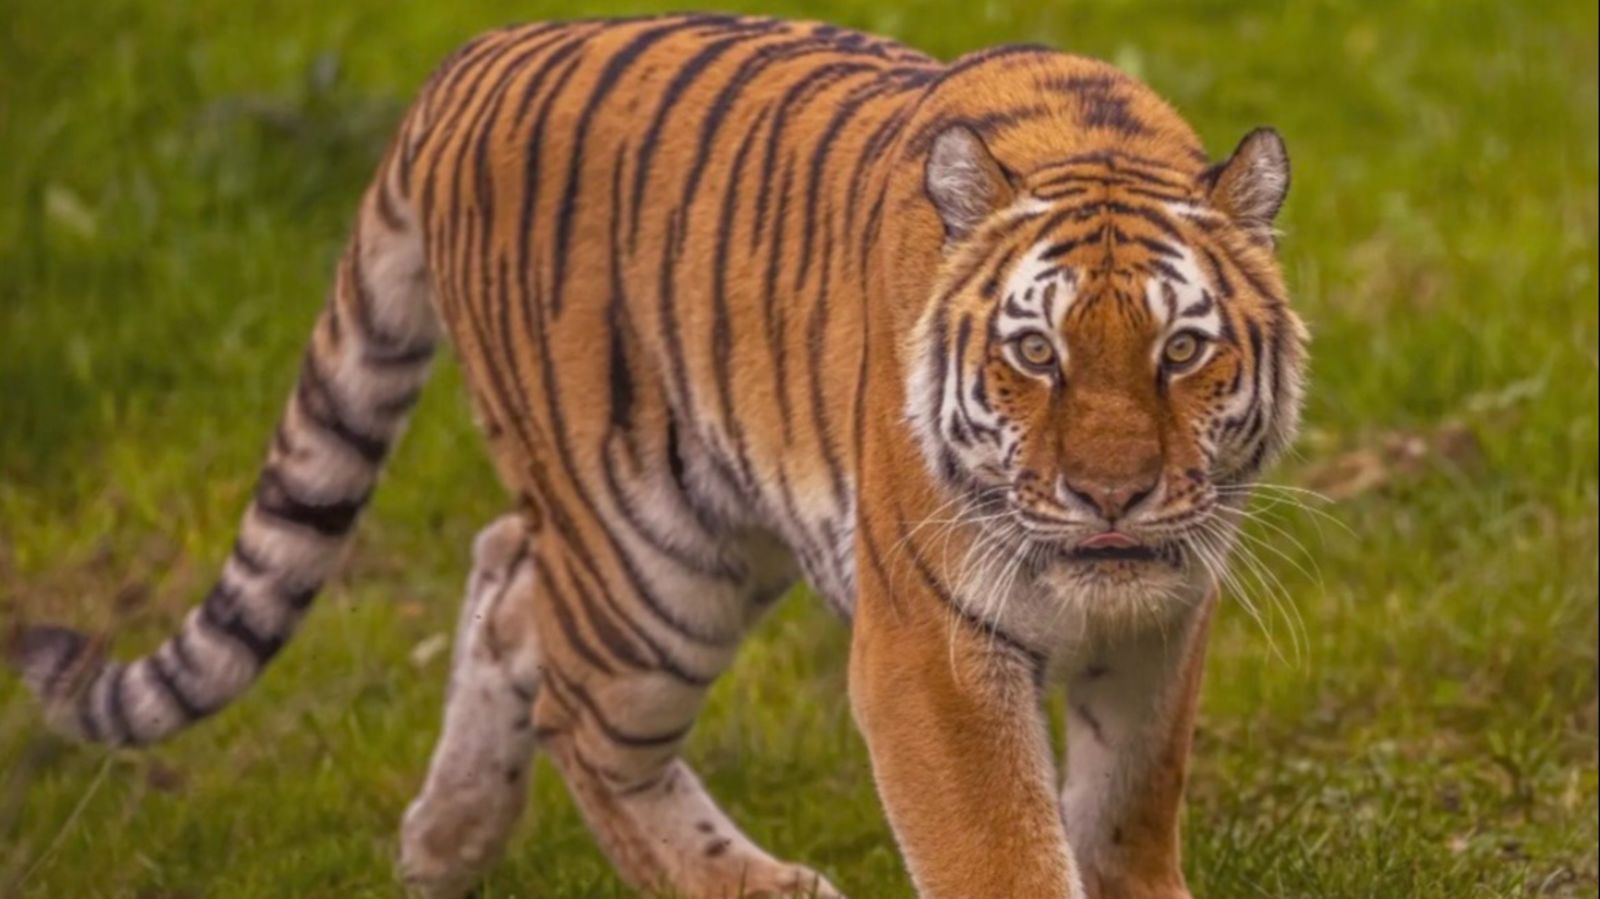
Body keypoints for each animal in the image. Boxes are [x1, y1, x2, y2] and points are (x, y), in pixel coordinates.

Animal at [10, 13, 1307, 899]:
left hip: (710, 521)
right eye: (1034, 351)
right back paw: (755, 886)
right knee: (582, 713)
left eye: (1181, 349)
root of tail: (470, 60)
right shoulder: (930, 650)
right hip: (651, 561)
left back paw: (443, 844)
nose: (1110, 494)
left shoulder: (1161, 620)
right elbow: (1000, 851)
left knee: (506, 574)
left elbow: (1127, 803)